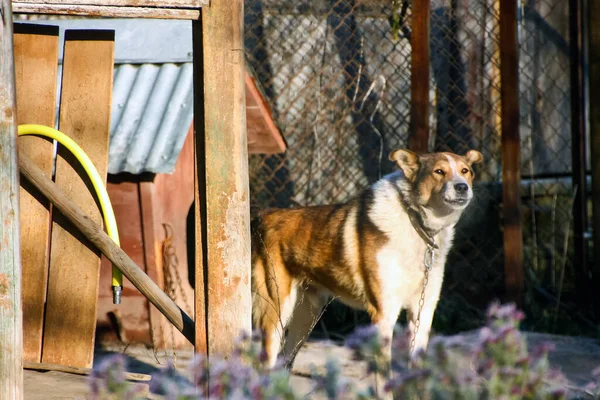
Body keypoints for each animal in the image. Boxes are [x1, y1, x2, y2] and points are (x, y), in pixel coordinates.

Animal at [250, 148, 482, 382]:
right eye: (439, 171)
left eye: (465, 171)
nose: (462, 187)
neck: (414, 221)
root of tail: (262, 217)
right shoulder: (384, 314)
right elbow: (384, 376)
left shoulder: (422, 311)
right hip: (276, 314)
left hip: (307, 316)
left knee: (285, 363)